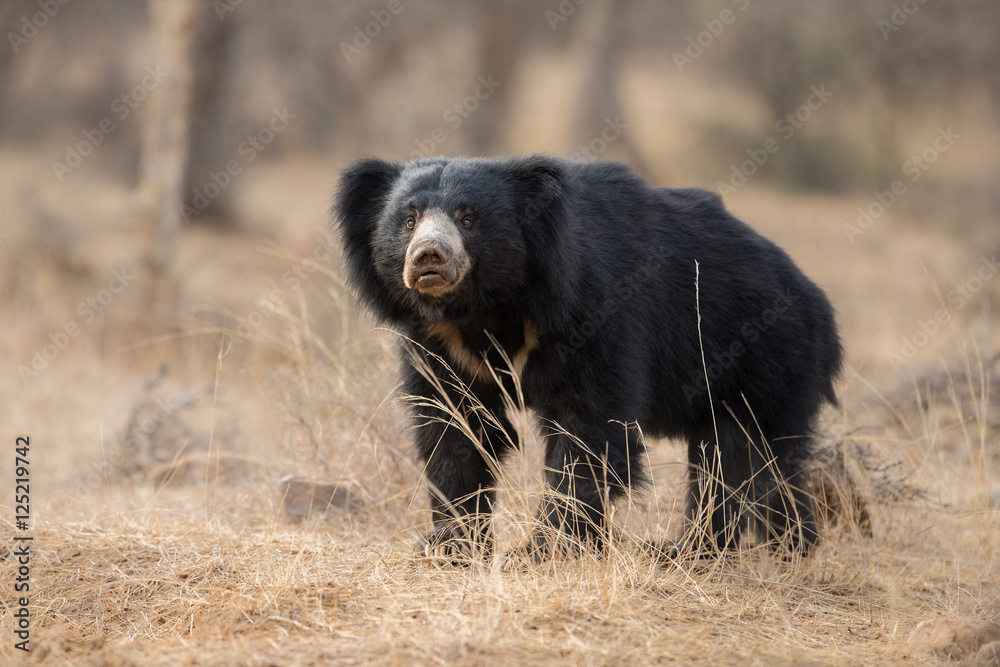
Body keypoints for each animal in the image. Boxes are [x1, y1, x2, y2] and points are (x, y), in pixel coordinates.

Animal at [334, 154, 842, 562]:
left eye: (468, 218)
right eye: (408, 219)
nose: (428, 258)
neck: (487, 308)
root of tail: (815, 300)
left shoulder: (594, 311)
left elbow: (588, 429)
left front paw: (545, 549)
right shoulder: (439, 345)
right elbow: (454, 427)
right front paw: (448, 545)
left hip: (763, 356)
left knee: (738, 457)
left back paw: (696, 549)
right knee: (761, 464)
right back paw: (788, 544)